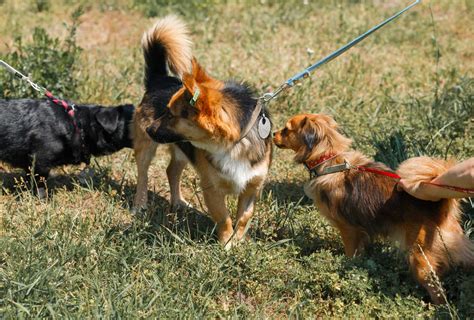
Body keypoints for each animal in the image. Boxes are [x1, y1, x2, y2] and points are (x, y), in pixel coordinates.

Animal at [131, 15, 272, 248]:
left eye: (171, 114)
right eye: (165, 110)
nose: (149, 128)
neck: (234, 145)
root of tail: (159, 78)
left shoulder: (252, 187)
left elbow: (244, 217)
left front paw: (238, 242)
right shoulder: (211, 188)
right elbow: (224, 218)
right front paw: (226, 245)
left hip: (181, 149)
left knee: (171, 171)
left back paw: (178, 202)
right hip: (145, 149)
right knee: (142, 176)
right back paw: (139, 205)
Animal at [274, 114, 474, 304]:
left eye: (286, 129)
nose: (273, 133)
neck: (329, 161)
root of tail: (437, 205)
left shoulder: (348, 229)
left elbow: (351, 254)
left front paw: (348, 268)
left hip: (419, 256)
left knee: (436, 288)